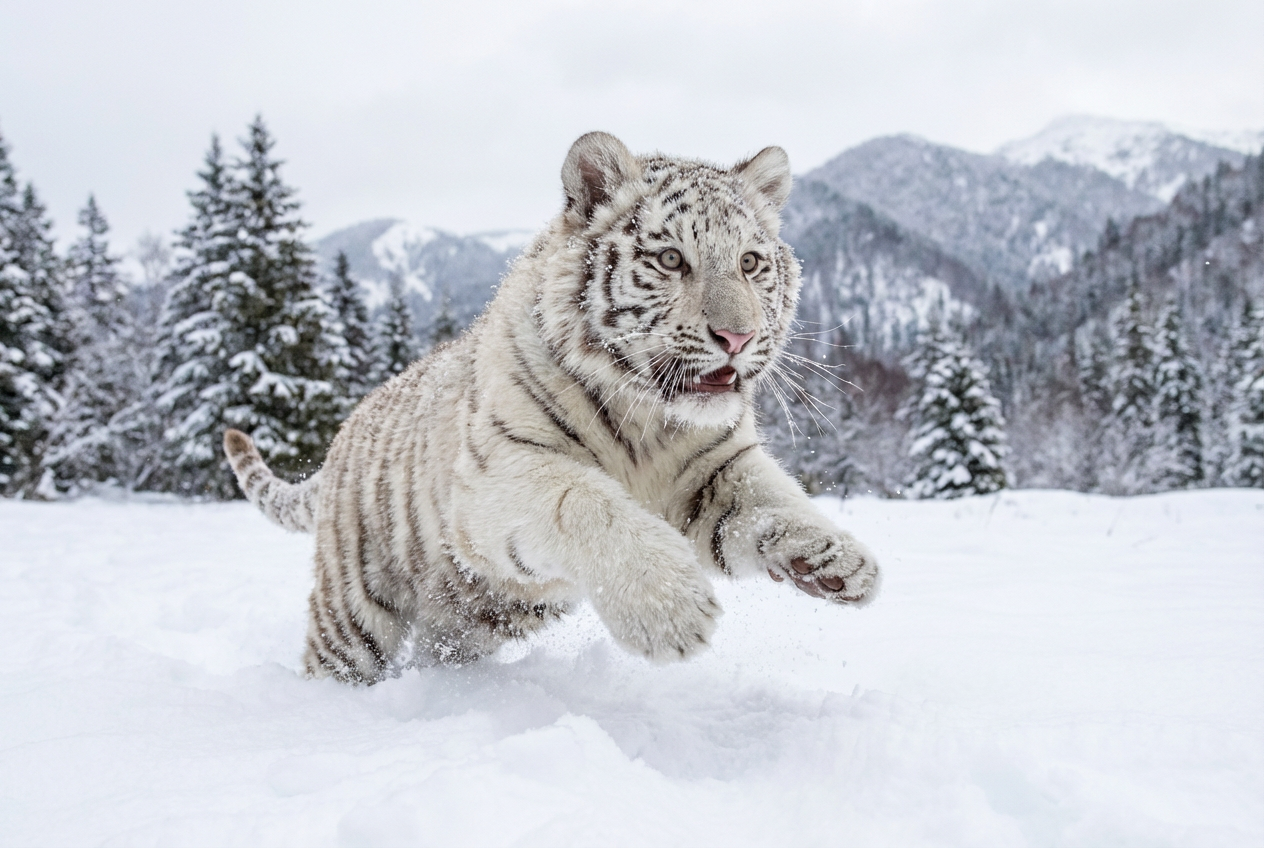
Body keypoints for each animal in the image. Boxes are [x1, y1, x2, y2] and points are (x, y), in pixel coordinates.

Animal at [223, 132, 880, 683]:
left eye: (750, 262)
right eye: (671, 260)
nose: (737, 338)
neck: (651, 419)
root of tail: (344, 432)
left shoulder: (714, 472)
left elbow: (772, 500)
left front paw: (839, 560)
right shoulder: (494, 480)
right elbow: (583, 501)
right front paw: (672, 609)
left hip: (470, 619)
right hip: (355, 610)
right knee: (340, 657)